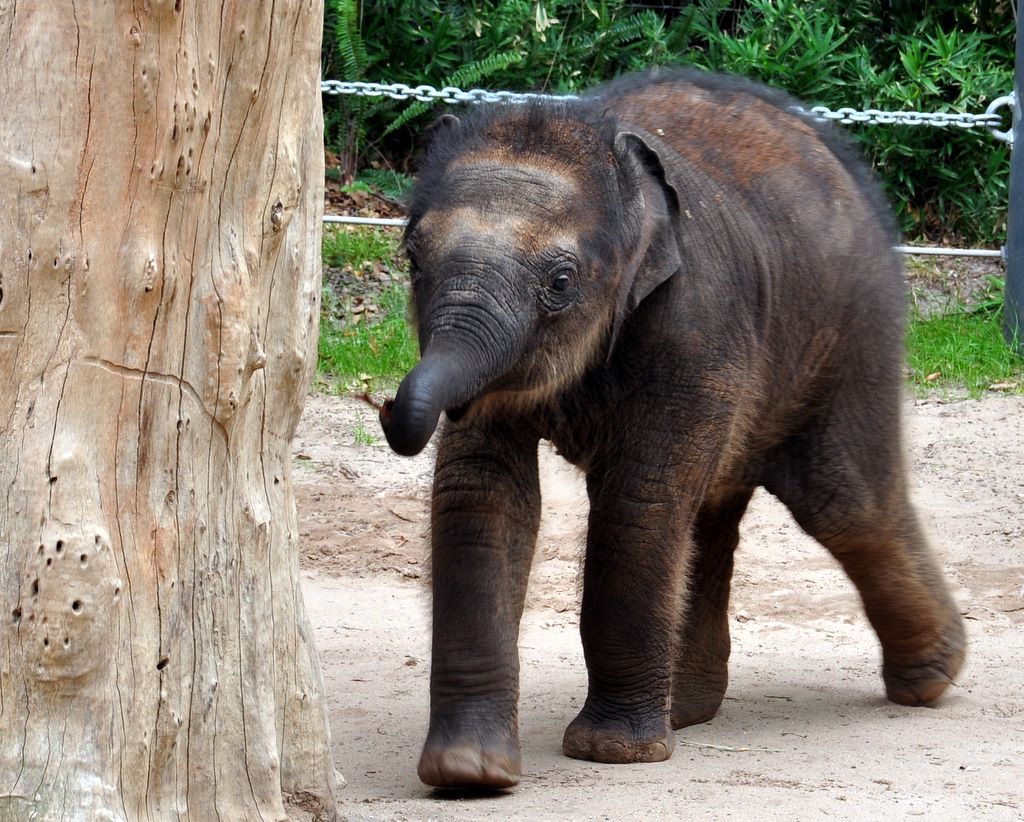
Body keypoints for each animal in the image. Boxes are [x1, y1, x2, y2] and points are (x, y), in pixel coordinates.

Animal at [378, 68, 966, 790]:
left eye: (561, 282)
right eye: (413, 261)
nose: (388, 409)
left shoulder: (695, 324)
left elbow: (639, 503)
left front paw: (610, 752)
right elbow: (479, 495)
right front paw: (469, 773)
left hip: (854, 326)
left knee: (846, 502)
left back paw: (929, 680)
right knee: (714, 514)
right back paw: (688, 711)